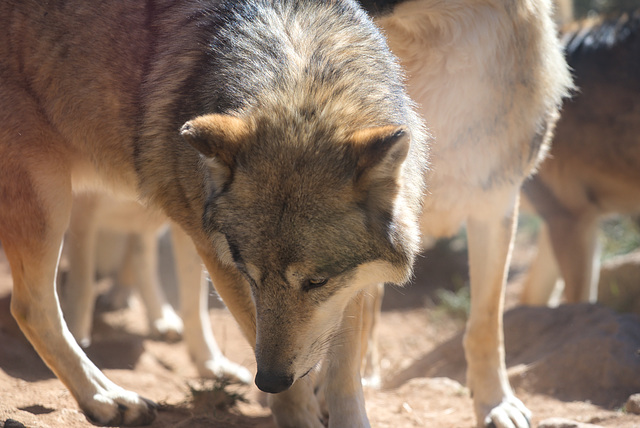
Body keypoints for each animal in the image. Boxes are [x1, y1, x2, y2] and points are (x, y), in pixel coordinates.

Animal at [60, 192, 250, 382]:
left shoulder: (192, 227)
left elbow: (195, 309)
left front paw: (211, 363)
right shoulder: (82, 214)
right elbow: (82, 286)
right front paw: (77, 347)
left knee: (139, 261)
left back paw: (156, 315)